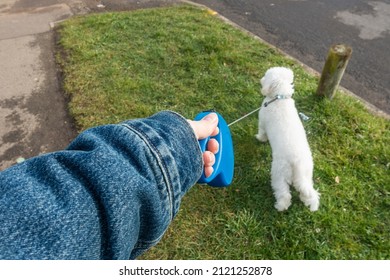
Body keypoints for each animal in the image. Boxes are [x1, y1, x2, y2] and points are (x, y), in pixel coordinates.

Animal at [256, 68, 320, 211]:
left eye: (266, 76)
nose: (261, 80)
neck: (280, 98)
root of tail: (298, 163)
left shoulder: (262, 122)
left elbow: (262, 132)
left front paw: (260, 139)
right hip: (306, 174)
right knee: (308, 191)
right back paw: (310, 203)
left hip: (279, 172)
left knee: (284, 193)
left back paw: (280, 206)